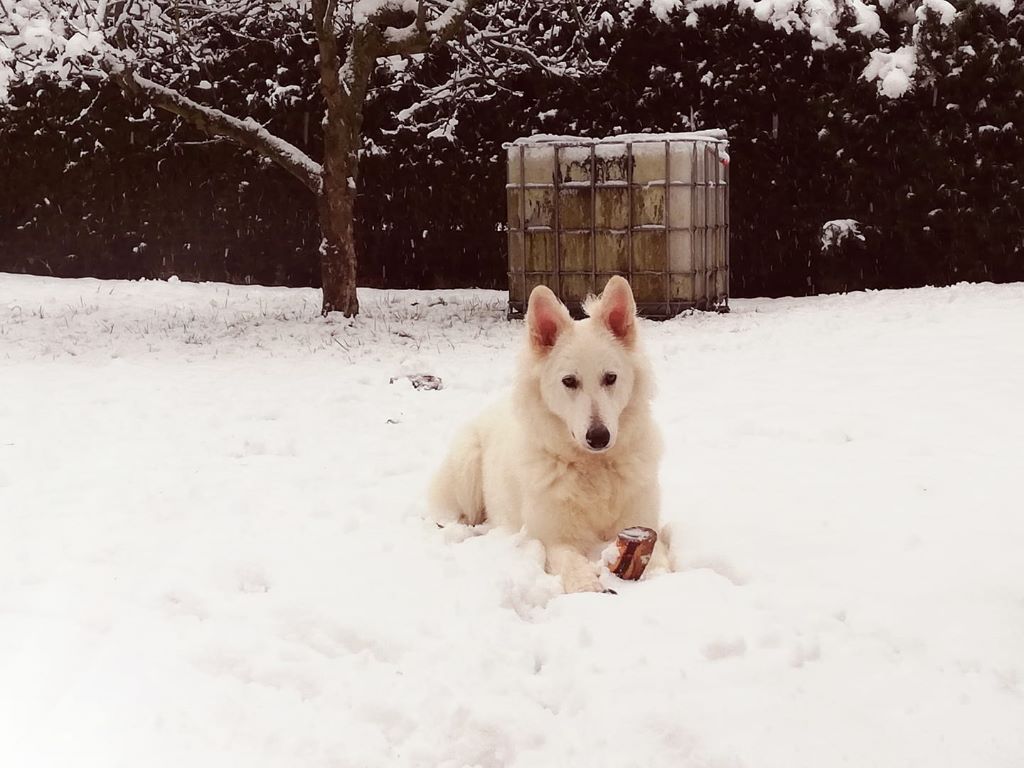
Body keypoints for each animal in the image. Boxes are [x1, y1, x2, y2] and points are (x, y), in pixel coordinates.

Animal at [429, 276, 668, 593]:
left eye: (610, 378)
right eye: (569, 381)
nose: (599, 437)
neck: (594, 470)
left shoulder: (643, 527)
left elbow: (660, 562)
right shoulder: (554, 540)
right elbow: (571, 562)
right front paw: (589, 587)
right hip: (466, 466)